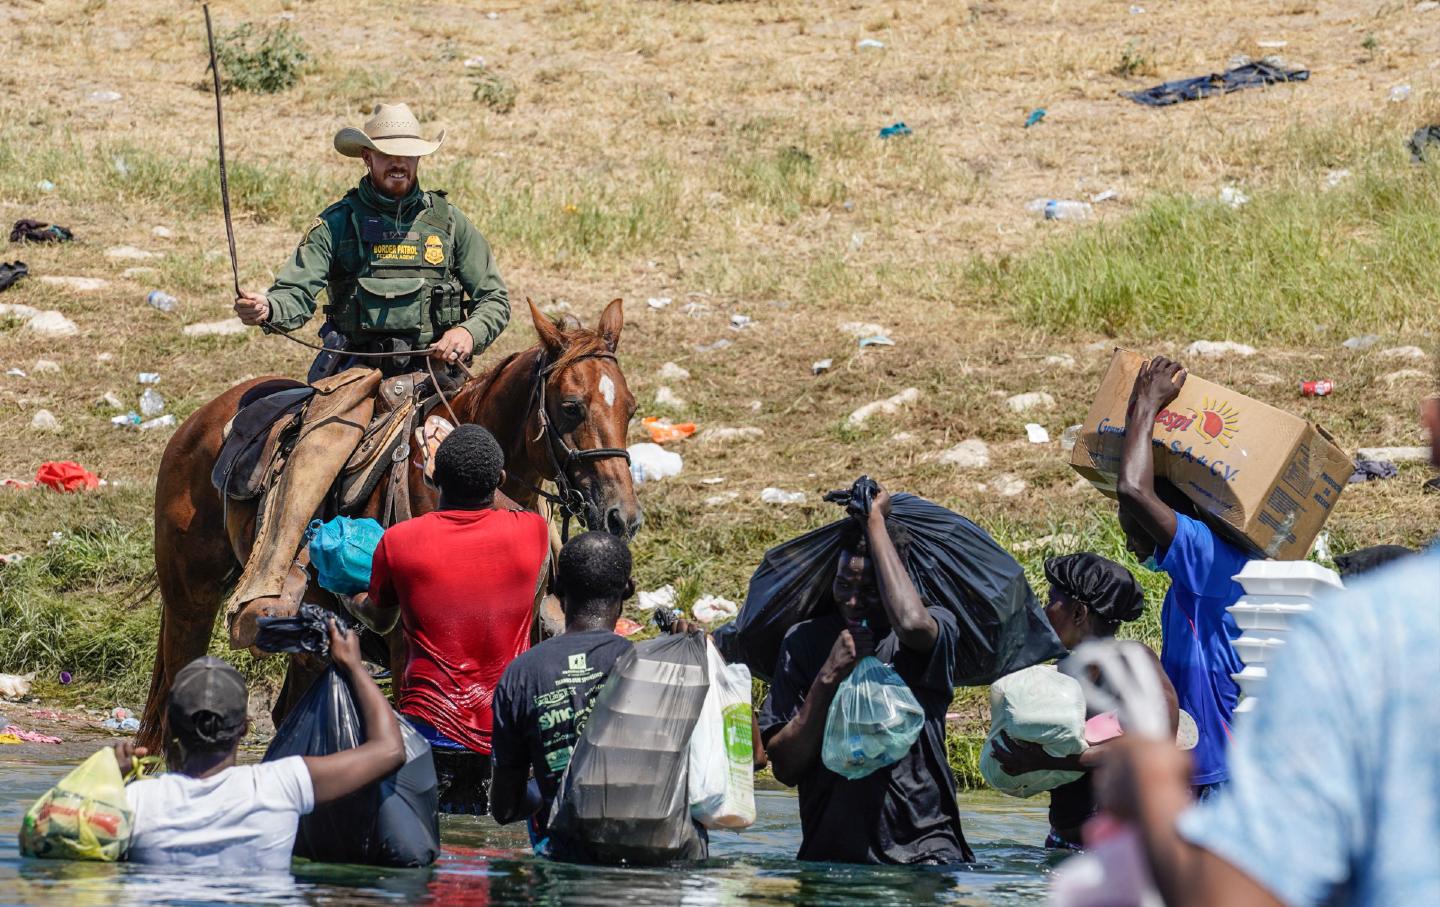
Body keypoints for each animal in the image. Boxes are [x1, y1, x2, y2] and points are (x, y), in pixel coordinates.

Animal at [138, 303, 636, 754]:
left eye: (630, 409)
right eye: (571, 408)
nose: (622, 516)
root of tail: (200, 420)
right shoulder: (406, 650)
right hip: (190, 603)